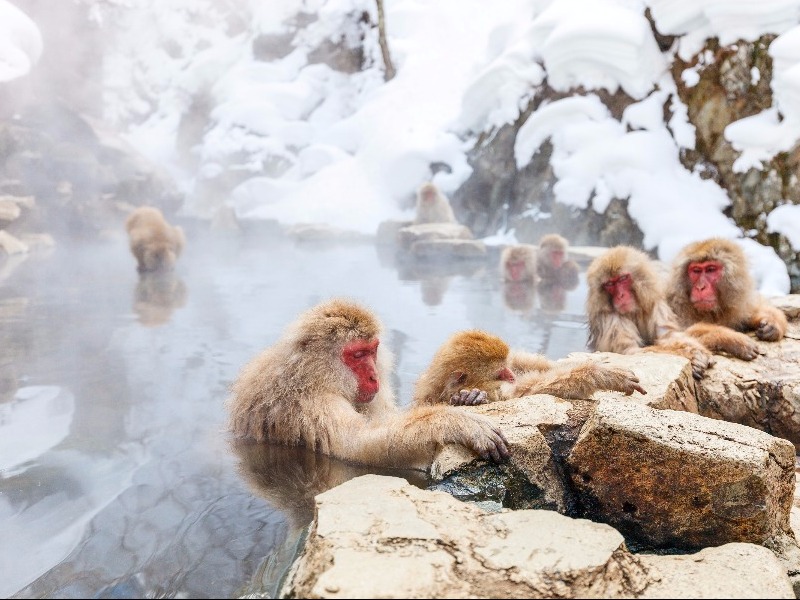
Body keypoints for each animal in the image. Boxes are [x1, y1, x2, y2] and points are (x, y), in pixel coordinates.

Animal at [227, 298, 512, 468]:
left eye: (372, 350)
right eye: (357, 355)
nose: (375, 376)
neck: (311, 374)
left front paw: (466, 398)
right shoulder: (314, 403)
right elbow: (357, 446)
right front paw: (456, 422)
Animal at [410, 328, 648, 408]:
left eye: (506, 368)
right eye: (500, 373)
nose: (511, 375)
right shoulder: (496, 390)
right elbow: (528, 391)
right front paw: (604, 374)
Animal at [584, 245, 716, 380]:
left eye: (623, 279)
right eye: (609, 284)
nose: (620, 296)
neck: (633, 312)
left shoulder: (655, 304)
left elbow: (669, 336)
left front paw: (697, 352)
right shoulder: (609, 318)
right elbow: (631, 351)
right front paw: (692, 357)